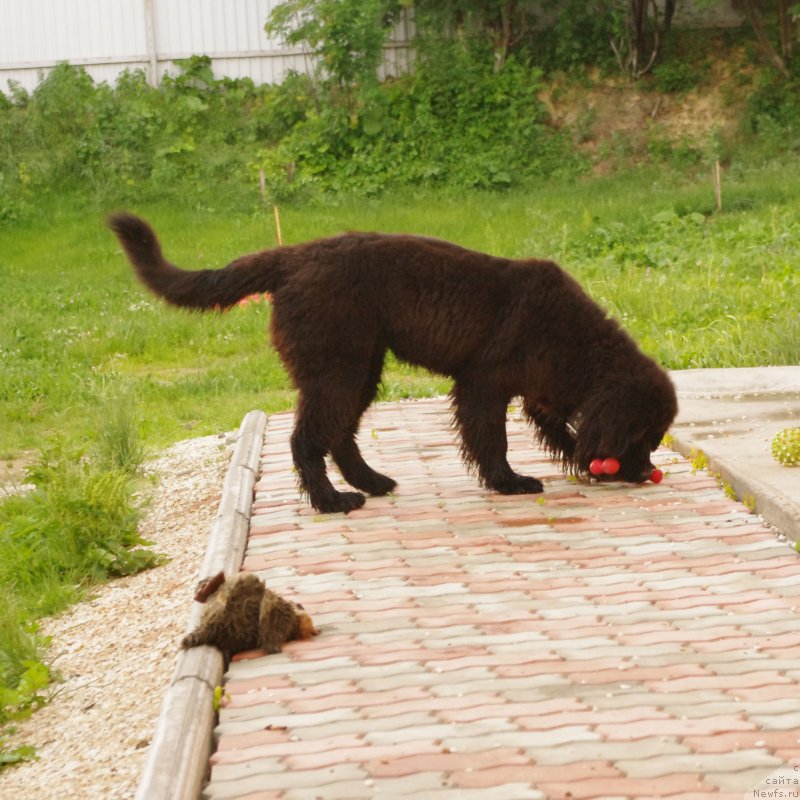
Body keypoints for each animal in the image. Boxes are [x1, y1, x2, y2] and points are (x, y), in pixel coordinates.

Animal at [108, 212, 676, 512]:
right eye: (643, 435)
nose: (646, 472)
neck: (579, 344)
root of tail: (292, 258)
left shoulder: (541, 393)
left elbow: (561, 432)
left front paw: (580, 459)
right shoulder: (483, 385)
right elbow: (492, 440)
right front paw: (509, 482)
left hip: (360, 370)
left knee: (338, 436)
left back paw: (371, 483)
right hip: (338, 370)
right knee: (306, 439)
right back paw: (332, 500)